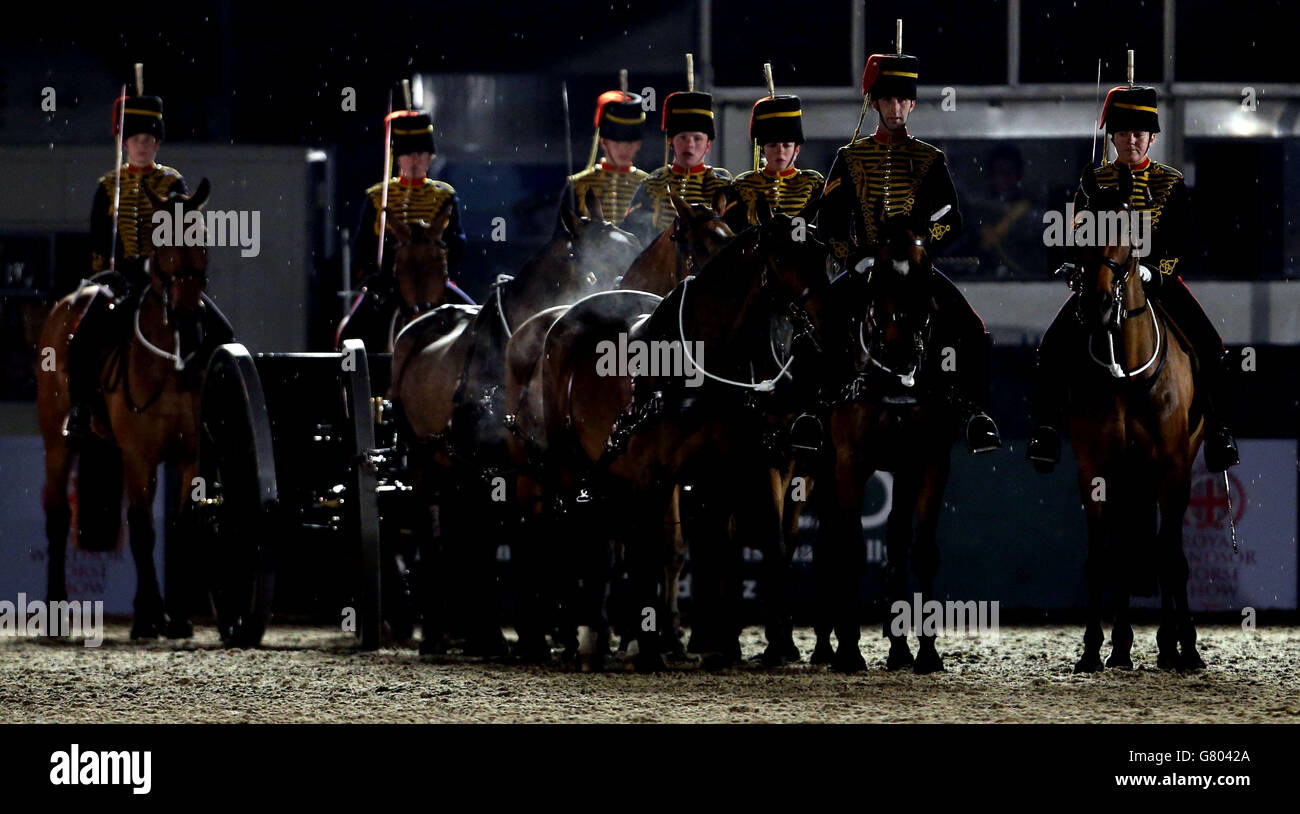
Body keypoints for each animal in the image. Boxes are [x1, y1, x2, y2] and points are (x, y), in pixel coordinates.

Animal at [38, 176, 228, 634]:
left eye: (202, 237)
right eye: (160, 239)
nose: (186, 316)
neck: (171, 358)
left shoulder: (189, 454)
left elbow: (180, 525)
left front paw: (174, 615)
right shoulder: (138, 454)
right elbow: (142, 529)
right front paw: (152, 617)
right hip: (58, 441)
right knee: (58, 516)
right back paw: (58, 607)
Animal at [816, 214, 961, 670]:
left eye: (926, 269)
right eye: (876, 273)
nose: (902, 355)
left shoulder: (927, 461)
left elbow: (920, 549)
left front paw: (926, 652)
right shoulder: (848, 462)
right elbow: (850, 548)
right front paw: (848, 651)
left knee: (896, 541)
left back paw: (897, 648)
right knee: (827, 542)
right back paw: (824, 645)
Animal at [1066, 161, 1206, 670]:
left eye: (1127, 229)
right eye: (1080, 228)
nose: (1096, 306)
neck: (1126, 372)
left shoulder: (1171, 463)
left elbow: (1170, 555)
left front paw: (1183, 647)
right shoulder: (1094, 466)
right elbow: (1101, 556)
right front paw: (1092, 648)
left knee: (1169, 546)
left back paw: (1172, 644)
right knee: (1126, 548)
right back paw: (1123, 646)